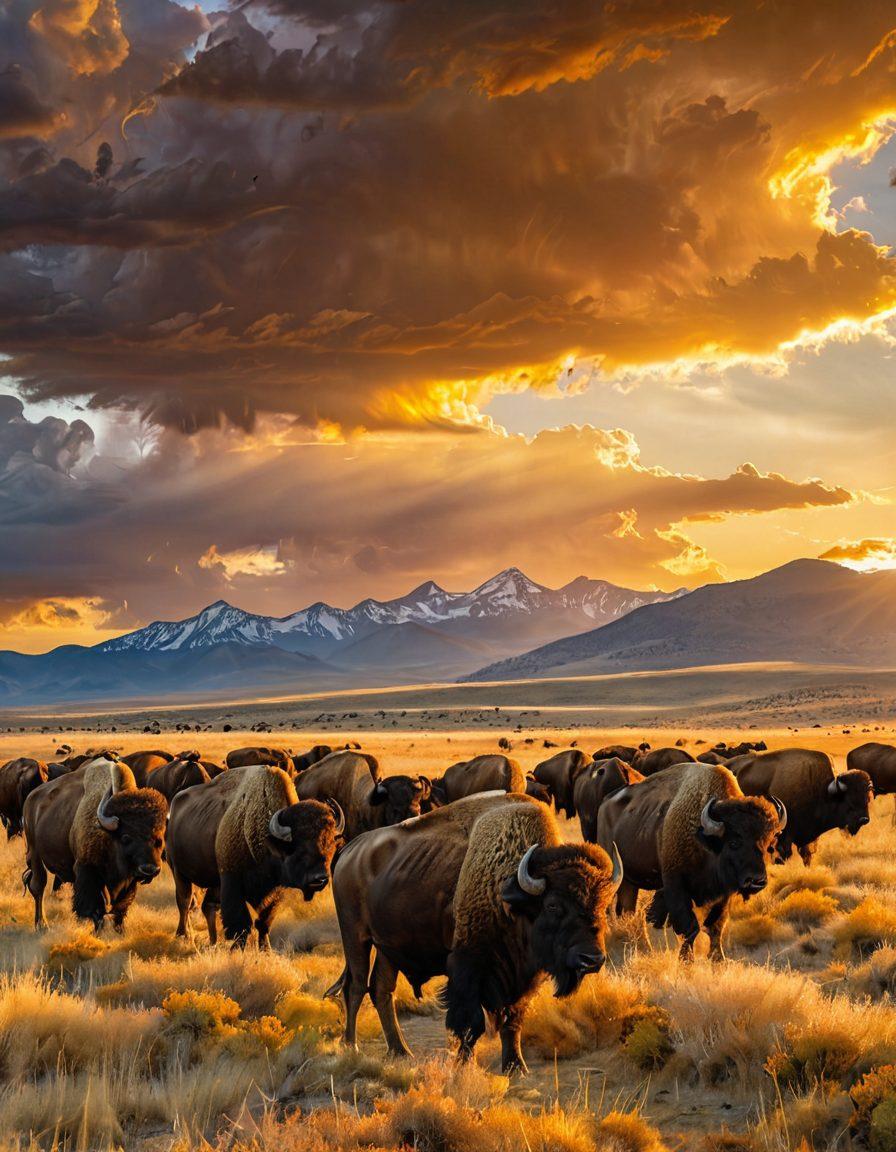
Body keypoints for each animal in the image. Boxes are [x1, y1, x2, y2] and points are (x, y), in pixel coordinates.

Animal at [23, 758, 167, 932]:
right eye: (126, 837)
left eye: (159, 839)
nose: (150, 869)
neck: (109, 836)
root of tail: (31, 798)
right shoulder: (88, 871)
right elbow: (96, 906)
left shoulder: (128, 881)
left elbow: (120, 908)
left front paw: (120, 931)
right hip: (35, 853)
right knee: (38, 886)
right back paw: (42, 924)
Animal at [166, 765, 343, 946]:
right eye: (297, 848)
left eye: (330, 846)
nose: (320, 879)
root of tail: (174, 805)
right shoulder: (232, 882)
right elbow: (240, 924)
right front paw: (237, 948)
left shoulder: (274, 890)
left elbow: (264, 921)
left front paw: (266, 948)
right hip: (178, 871)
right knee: (185, 902)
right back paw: (184, 935)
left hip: (214, 882)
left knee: (207, 906)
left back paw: (213, 942)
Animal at [331, 792, 622, 1072]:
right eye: (552, 905)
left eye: (602, 904)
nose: (592, 959)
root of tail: (349, 852)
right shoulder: (467, 966)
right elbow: (471, 1023)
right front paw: (465, 1065)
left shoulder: (522, 976)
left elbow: (513, 1020)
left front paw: (516, 1067)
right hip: (355, 938)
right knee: (356, 987)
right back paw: (352, 1047)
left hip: (388, 949)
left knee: (382, 991)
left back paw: (401, 1051)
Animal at [598, 762, 785, 959]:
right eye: (733, 843)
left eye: (768, 845)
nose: (757, 881)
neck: (705, 838)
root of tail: (605, 803)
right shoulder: (676, 886)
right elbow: (689, 927)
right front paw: (686, 960)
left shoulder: (723, 894)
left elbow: (716, 927)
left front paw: (718, 959)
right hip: (617, 872)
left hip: (630, 881)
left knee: (629, 911)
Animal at [729, 748, 872, 865]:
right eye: (849, 801)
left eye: (867, 799)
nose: (864, 819)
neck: (822, 790)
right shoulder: (785, 834)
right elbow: (785, 854)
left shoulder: (808, 835)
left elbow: (807, 855)